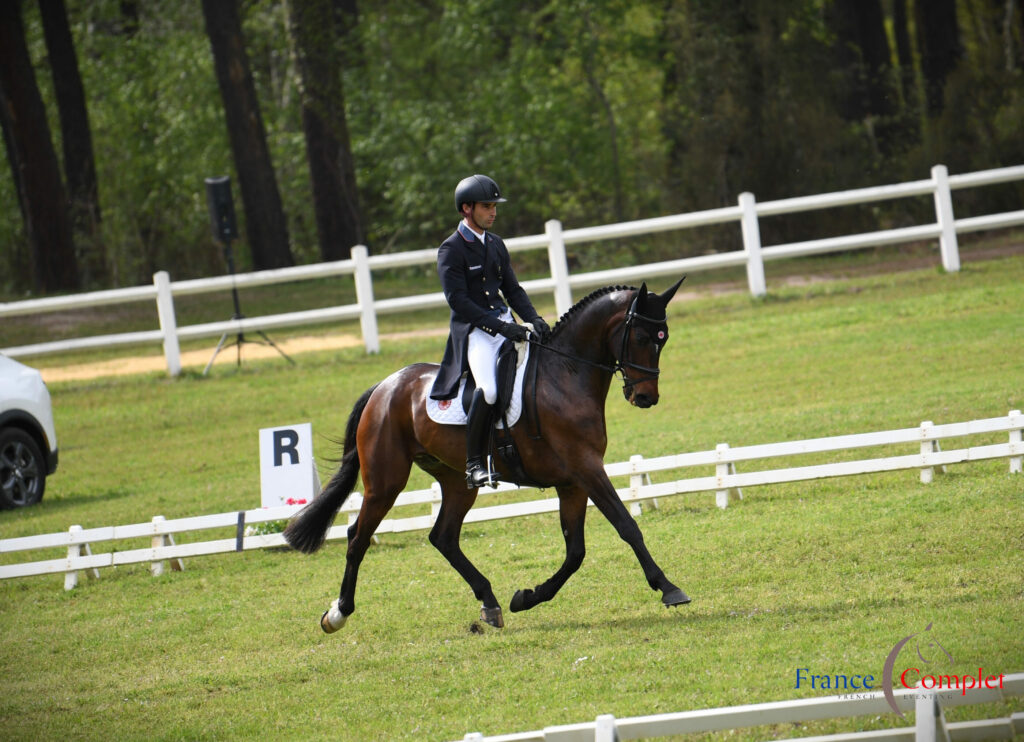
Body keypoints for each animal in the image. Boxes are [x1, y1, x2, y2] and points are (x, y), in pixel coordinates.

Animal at [284, 278, 692, 630]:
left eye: (664, 338)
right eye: (642, 336)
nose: (645, 397)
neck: (565, 374)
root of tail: (384, 387)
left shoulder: (573, 482)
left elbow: (575, 551)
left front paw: (527, 597)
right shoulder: (587, 469)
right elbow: (626, 525)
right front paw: (669, 588)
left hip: (457, 481)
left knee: (443, 537)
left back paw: (491, 603)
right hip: (386, 481)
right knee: (358, 536)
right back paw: (337, 613)